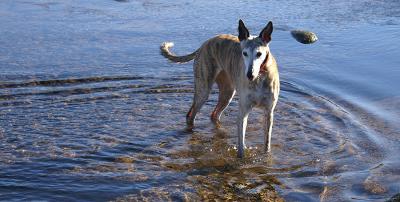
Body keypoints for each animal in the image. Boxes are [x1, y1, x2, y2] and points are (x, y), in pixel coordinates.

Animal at [161, 19, 280, 158]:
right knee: (190, 114)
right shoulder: (243, 111)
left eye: (259, 54)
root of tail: (203, 45)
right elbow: (241, 146)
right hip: (203, 89)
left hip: (227, 93)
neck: (259, 78)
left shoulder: (269, 112)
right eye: (244, 53)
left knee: (214, 114)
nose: (249, 75)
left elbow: (267, 143)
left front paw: (266, 157)